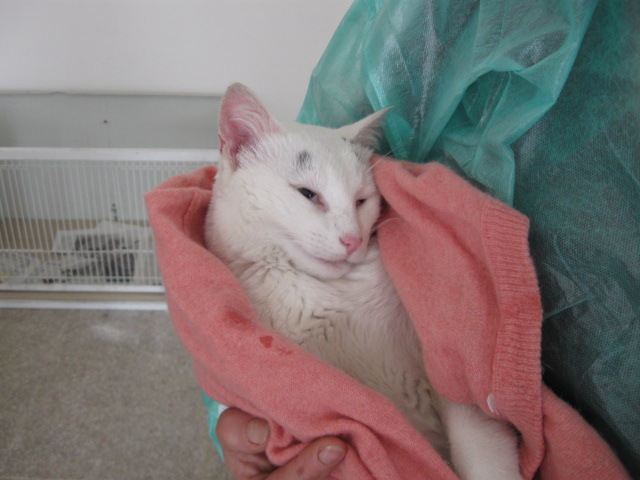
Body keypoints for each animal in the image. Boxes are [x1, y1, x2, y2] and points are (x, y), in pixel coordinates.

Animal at [205, 83, 523, 480]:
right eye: (307, 194)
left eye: (361, 201)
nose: (352, 240)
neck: (327, 296)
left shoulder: (448, 372)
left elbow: (479, 444)